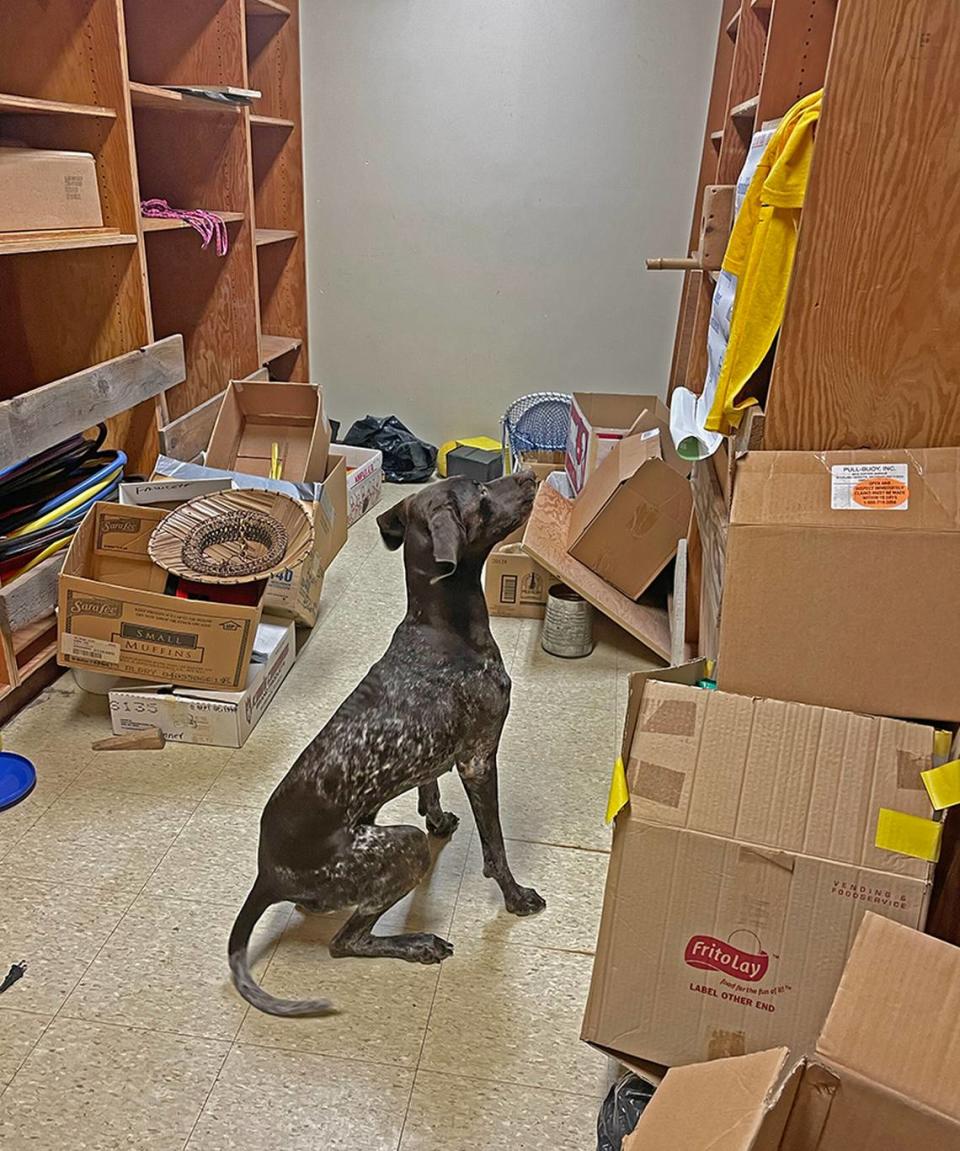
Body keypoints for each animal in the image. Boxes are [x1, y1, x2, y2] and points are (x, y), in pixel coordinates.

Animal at [229, 469, 545, 1017]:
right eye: (482, 492)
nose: (529, 473)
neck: (442, 628)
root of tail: (266, 875)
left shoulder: (438, 758)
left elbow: (429, 785)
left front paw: (439, 817)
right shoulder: (480, 759)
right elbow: (496, 847)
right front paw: (515, 896)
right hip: (401, 848)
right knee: (345, 942)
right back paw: (418, 944)